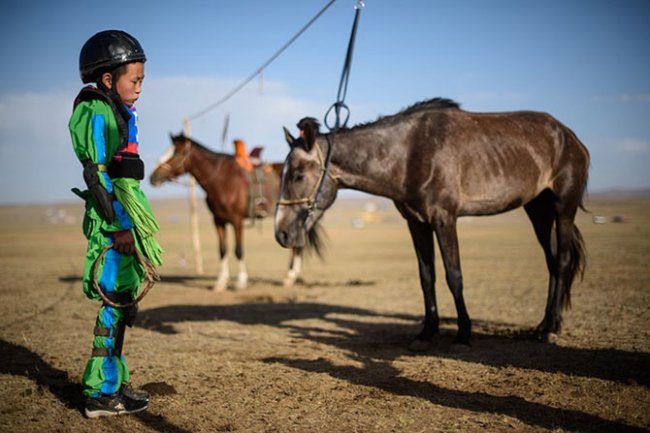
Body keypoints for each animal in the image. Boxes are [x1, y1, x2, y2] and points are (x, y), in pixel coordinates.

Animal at [153, 132, 324, 290]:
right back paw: (293, 276)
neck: (222, 180)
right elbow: (222, 250)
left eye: (176, 153)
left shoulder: (236, 220)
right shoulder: (218, 221)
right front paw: (220, 282)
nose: (153, 177)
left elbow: (238, 250)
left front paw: (241, 281)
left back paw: (289, 277)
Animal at [274, 98, 588, 348]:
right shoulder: (416, 222)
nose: (282, 234)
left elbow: (454, 276)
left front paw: (463, 334)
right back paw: (544, 325)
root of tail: (570, 136)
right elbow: (427, 276)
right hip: (538, 210)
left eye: (298, 175)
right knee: (552, 262)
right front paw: (427, 331)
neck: (409, 154)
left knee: (562, 261)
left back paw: (551, 328)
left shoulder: (444, 219)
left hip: (563, 208)